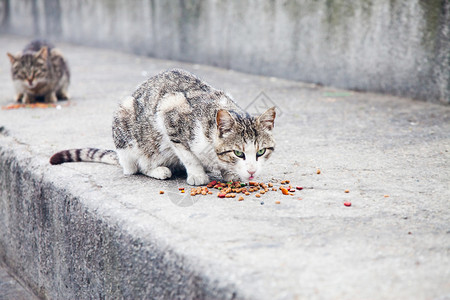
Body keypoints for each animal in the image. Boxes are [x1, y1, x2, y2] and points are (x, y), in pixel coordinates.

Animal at [49, 69, 274, 185]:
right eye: (238, 153)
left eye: (261, 152)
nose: (252, 171)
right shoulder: (169, 112)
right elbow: (188, 155)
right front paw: (198, 175)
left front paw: (231, 174)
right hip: (126, 130)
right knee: (136, 168)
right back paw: (158, 170)